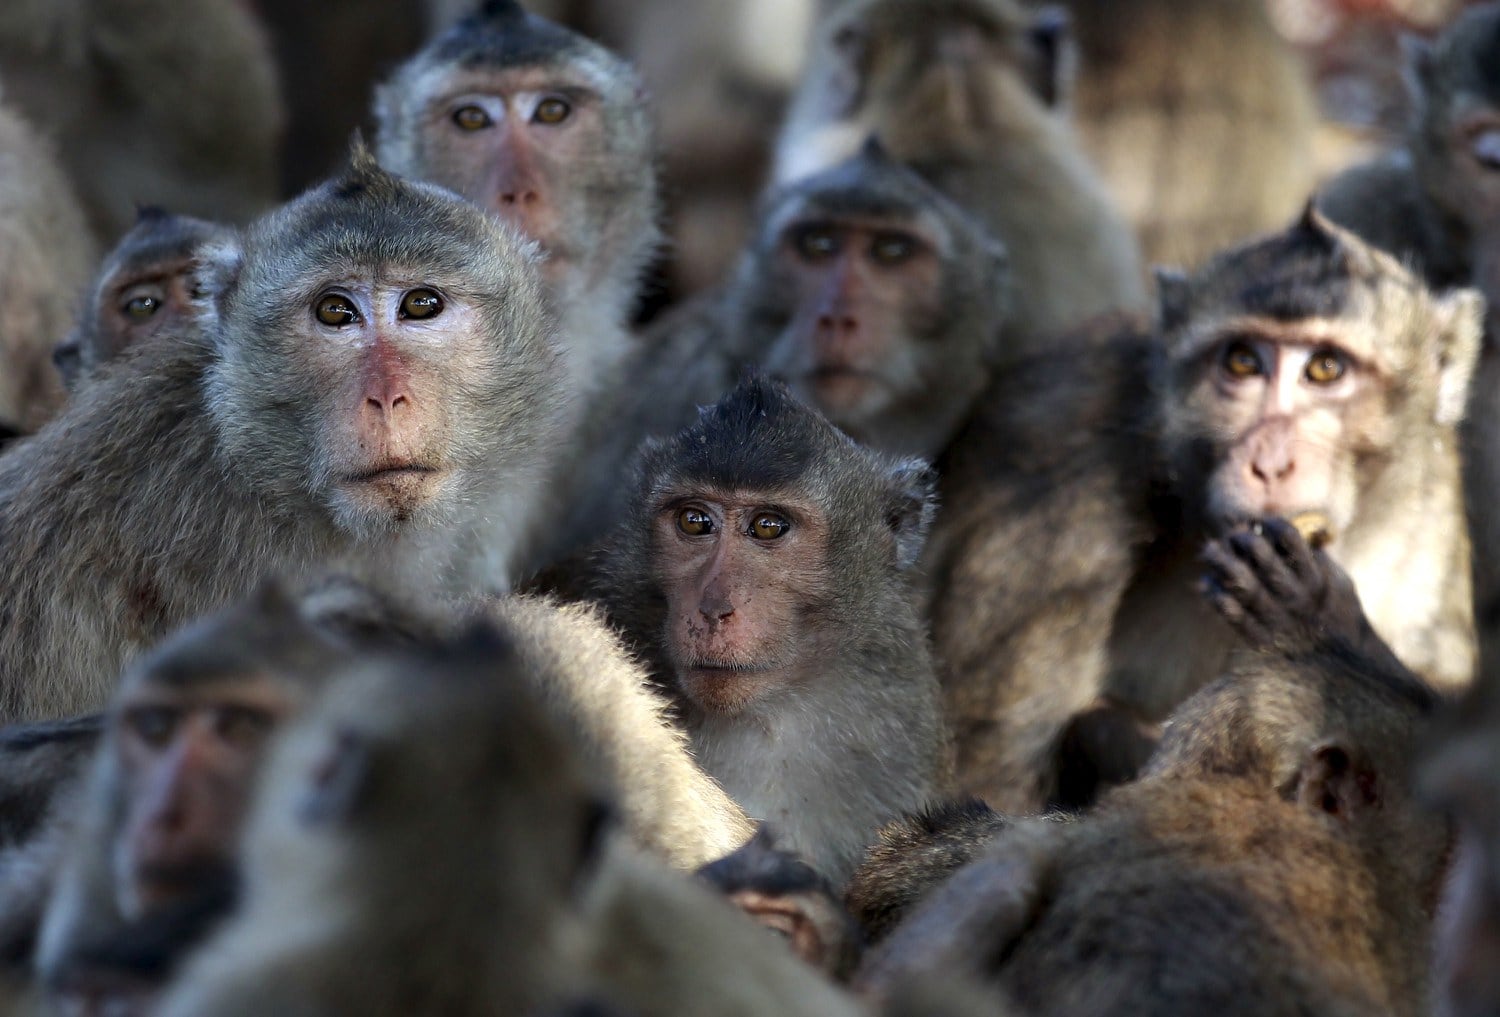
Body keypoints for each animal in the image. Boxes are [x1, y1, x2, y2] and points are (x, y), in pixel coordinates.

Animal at [923, 206, 1481, 812]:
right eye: (1242, 362)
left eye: (1326, 369)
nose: (1270, 463)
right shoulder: (1058, 456)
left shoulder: (1431, 504)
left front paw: (1324, 623)